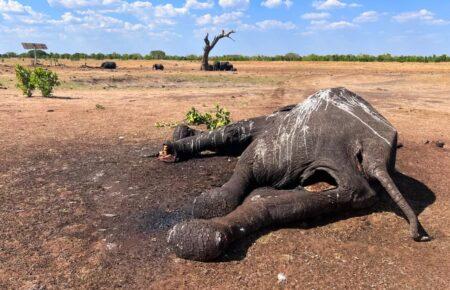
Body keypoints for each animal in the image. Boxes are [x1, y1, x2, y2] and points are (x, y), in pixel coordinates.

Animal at [163, 87, 430, 262]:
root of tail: (372, 147)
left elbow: (237, 140)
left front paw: (177, 140)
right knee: (349, 193)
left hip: (300, 140)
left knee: (246, 152)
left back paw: (199, 230)